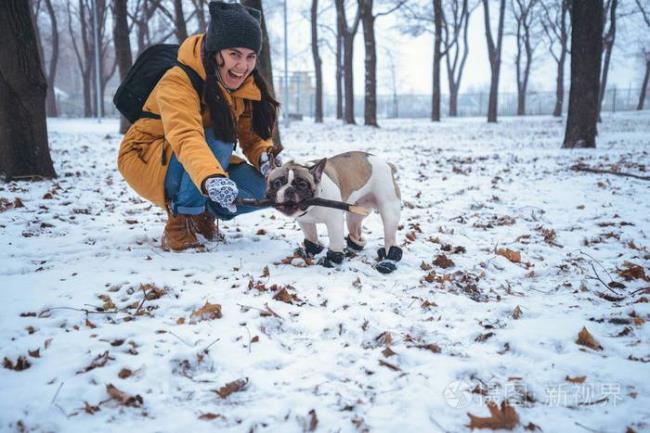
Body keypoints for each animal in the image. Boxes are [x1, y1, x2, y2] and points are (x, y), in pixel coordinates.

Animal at [264, 152, 400, 272]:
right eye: (277, 183)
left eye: (302, 184)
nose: (289, 190)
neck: (313, 206)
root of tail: (386, 163)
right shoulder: (305, 222)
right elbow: (311, 239)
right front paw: (311, 252)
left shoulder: (334, 222)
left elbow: (335, 242)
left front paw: (332, 261)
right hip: (355, 213)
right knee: (355, 231)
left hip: (389, 209)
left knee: (390, 237)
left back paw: (388, 262)